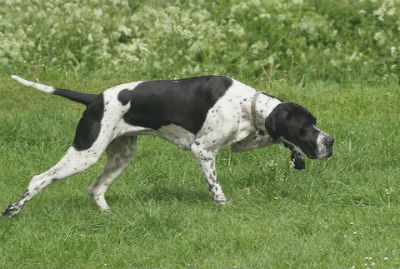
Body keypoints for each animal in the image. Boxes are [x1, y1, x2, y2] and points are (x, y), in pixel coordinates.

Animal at [3, 75, 334, 216]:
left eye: (313, 122)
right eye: (306, 126)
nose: (330, 141)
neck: (244, 104)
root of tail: (94, 98)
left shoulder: (242, 142)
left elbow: (276, 138)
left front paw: (296, 156)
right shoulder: (203, 151)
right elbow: (216, 187)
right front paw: (224, 207)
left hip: (122, 155)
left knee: (95, 188)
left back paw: (108, 215)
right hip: (85, 153)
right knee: (39, 178)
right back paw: (13, 210)